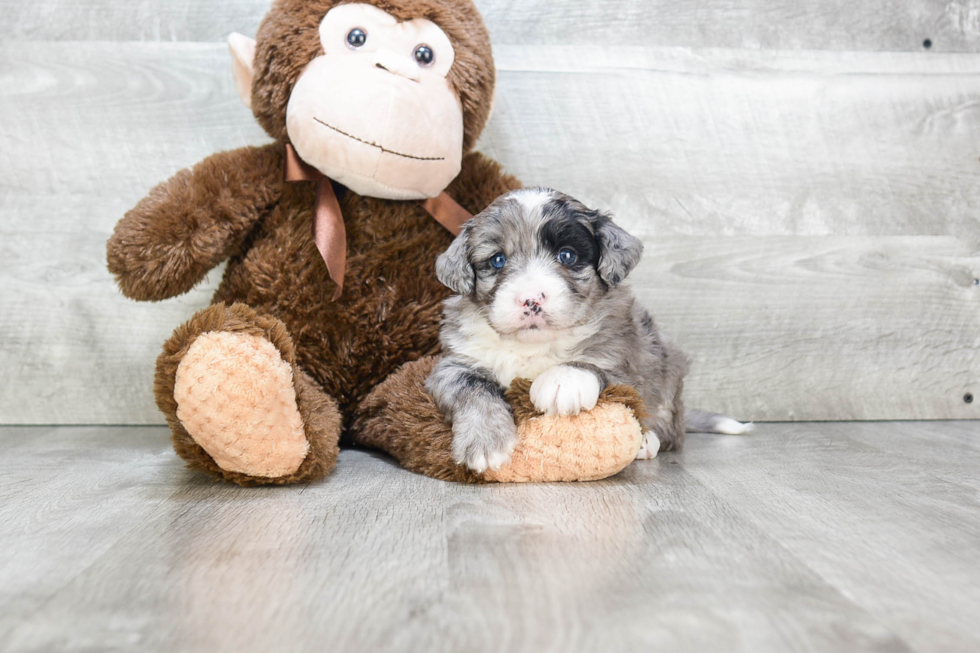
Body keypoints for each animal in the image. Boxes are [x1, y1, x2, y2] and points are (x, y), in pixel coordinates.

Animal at [424, 186, 748, 472]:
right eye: (497, 260)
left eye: (567, 255)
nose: (531, 299)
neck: (534, 346)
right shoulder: (453, 363)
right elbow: (472, 386)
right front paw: (485, 440)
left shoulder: (625, 359)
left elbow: (601, 370)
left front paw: (563, 380)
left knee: (669, 431)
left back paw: (647, 441)